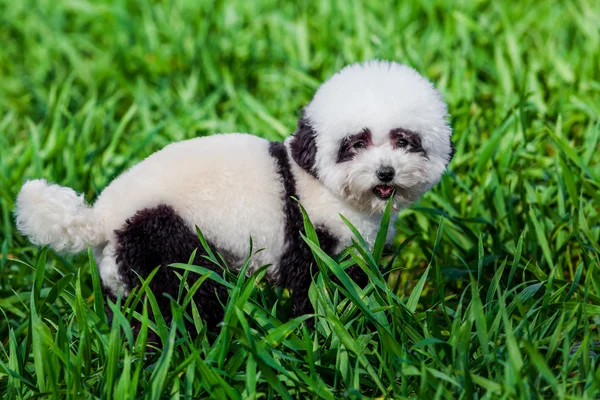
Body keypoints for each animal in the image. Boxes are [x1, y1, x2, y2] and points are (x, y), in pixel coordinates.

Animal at [15, 59, 454, 328]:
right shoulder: (311, 232)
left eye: (404, 140)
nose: (385, 172)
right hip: (160, 235)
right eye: (355, 143)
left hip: (124, 266)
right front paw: (328, 329)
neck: (322, 183)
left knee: (138, 310)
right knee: (186, 293)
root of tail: (102, 218)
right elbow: (316, 287)